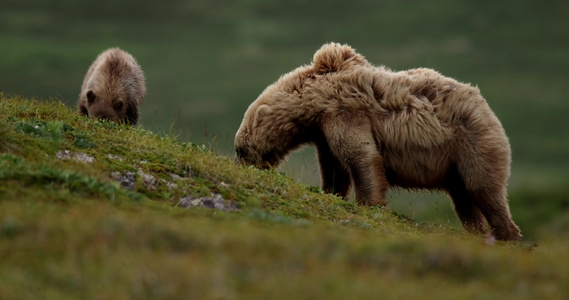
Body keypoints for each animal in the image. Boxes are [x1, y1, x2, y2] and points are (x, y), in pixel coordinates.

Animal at [233, 42, 520, 241]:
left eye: (240, 150)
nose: (238, 165)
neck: (313, 103)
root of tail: (488, 108)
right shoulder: (324, 131)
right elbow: (335, 167)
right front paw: (332, 191)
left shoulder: (344, 113)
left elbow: (361, 156)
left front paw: (369, 203)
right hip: (454, 165)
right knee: (463, 199)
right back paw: (478, 232)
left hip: (471, 143)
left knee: (484, 189)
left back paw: (508, 234)